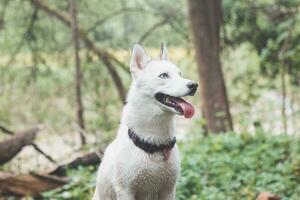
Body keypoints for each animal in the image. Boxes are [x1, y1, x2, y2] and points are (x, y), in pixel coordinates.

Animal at [92, 43, 198, 200]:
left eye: (180, 74)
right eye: (164, 75)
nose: (194, 85)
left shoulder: (168, 189)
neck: (154, 144)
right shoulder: (125, 190)